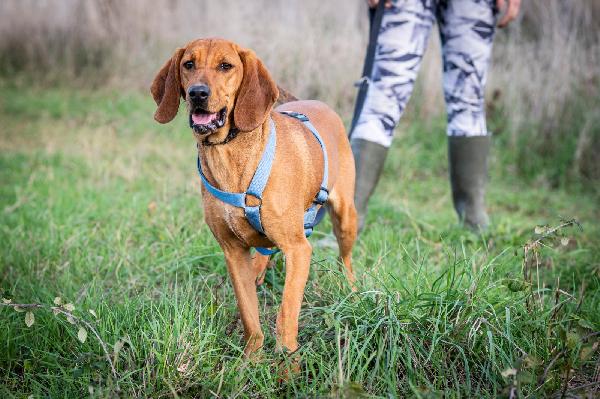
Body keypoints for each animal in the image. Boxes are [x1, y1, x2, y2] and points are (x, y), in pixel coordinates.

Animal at [151, 38, 356, 360]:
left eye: (226, 66)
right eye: (188, 64)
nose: (198, 93)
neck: (228, 155)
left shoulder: (299, 250)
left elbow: (286, 316)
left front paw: (287, 364)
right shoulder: (233, 253)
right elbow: (249, 315)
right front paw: (251, 360)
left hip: (346, 218)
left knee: (345, 259)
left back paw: (353, 290)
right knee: (263, 256)